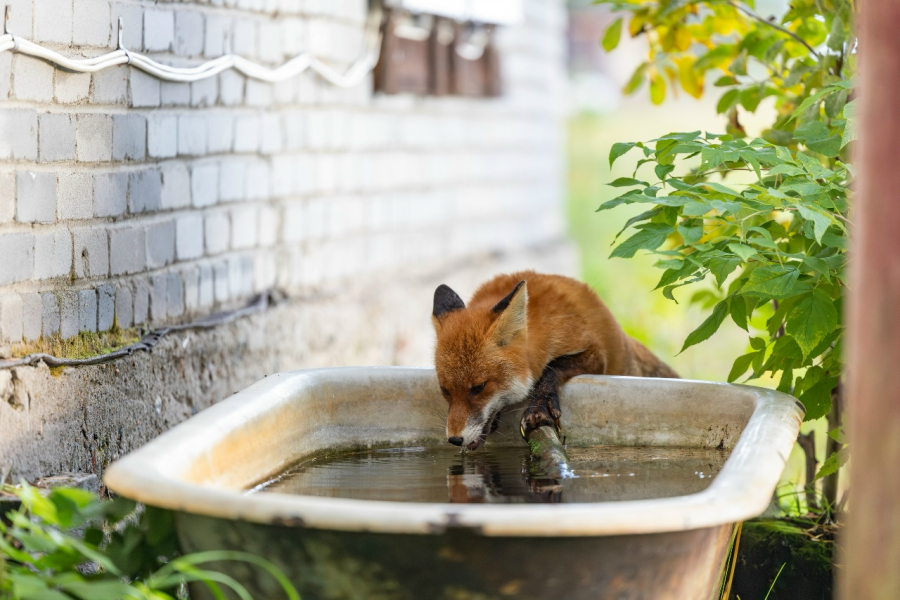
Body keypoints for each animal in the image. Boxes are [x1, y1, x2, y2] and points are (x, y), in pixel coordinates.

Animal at [432, 271, 678, 450]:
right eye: (445, 390)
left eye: (479, 387)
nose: (454, 439)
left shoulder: (595, 352)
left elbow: (553, 366)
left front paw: (540, 405)